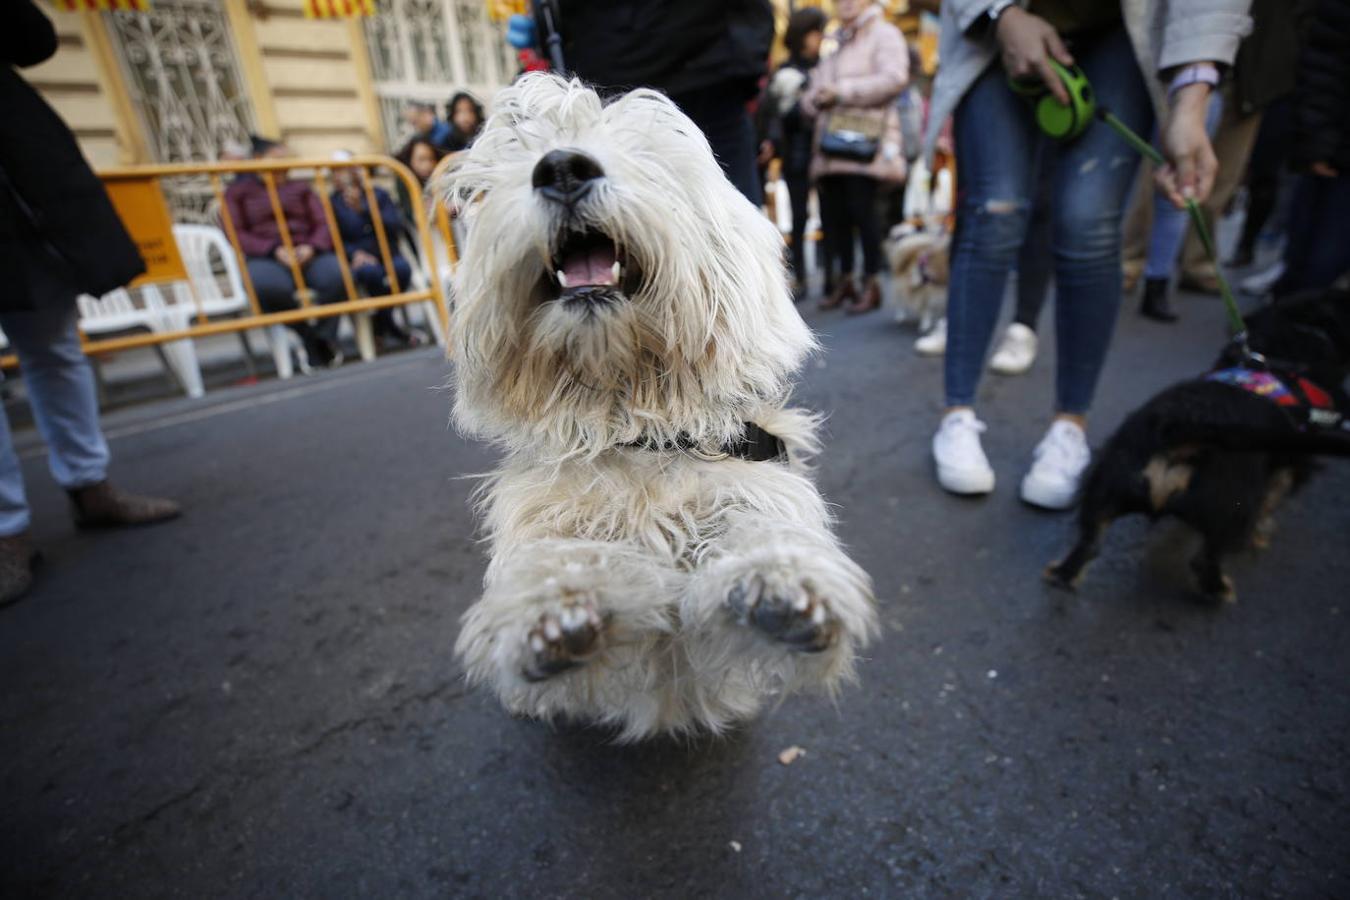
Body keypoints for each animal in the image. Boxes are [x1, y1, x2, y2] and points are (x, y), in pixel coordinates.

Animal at [442, 75, 874, 739]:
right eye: (521, 156)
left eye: (647, 156)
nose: (561, 167)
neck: (635, 421)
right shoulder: (550, 517)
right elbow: (558, 554)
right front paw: (557, 609)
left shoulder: (753, 485)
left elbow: (756, 528)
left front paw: (781, 584)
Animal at [1047, 290, 1344, 604]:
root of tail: (1184, 426)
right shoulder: (1293, 463)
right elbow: (1273, 498)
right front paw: (1262, 533)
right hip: (1232, 511)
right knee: (1207, 558)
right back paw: (1218, 589)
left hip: (1107, 483)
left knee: (1089, 541)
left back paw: (1063, 574)